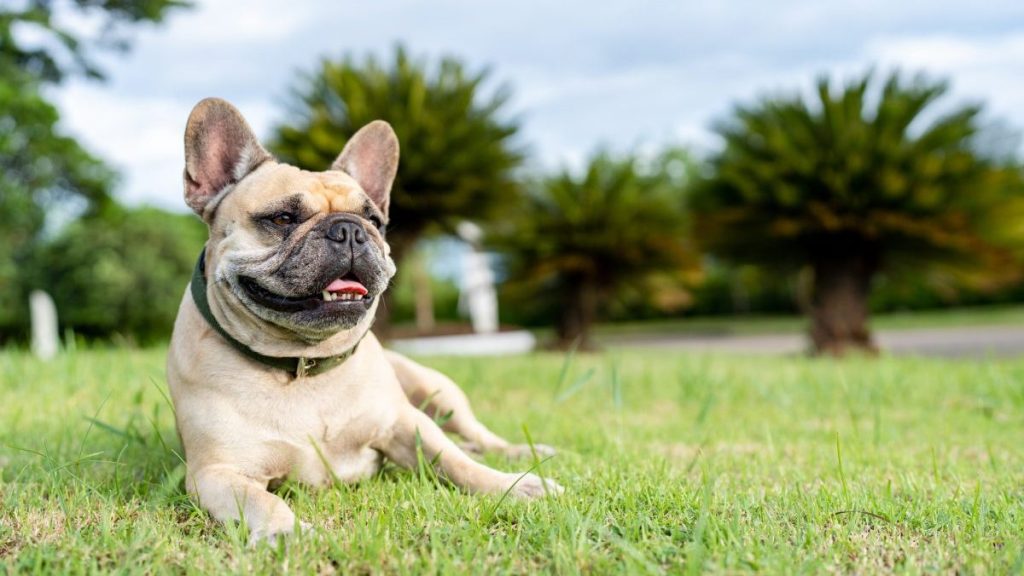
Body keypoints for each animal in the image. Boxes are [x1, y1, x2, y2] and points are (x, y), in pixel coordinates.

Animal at [165, 96, 561, 541]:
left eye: (374, 221)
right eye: (282, 218)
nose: (349, 230)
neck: (303, 363)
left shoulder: (405, 425)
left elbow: (455, 461)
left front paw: (513, 486)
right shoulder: (216, 472)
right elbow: (263, 503)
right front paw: (290, 534)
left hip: (438, 392)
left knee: (474, 436)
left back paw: (519, 454)